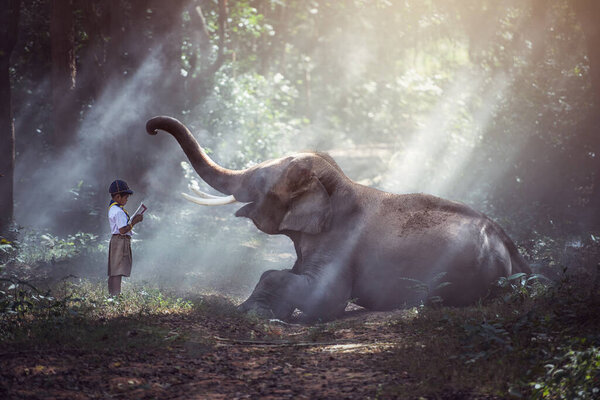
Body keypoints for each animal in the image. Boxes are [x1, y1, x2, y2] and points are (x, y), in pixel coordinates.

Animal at [145, 115, 528, 318]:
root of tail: (514, 252)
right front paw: (250, 310)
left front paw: (256, 314)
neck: (339, 184)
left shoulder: (341, 243)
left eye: (259, 179)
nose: (151, 128)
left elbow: (323, 296)